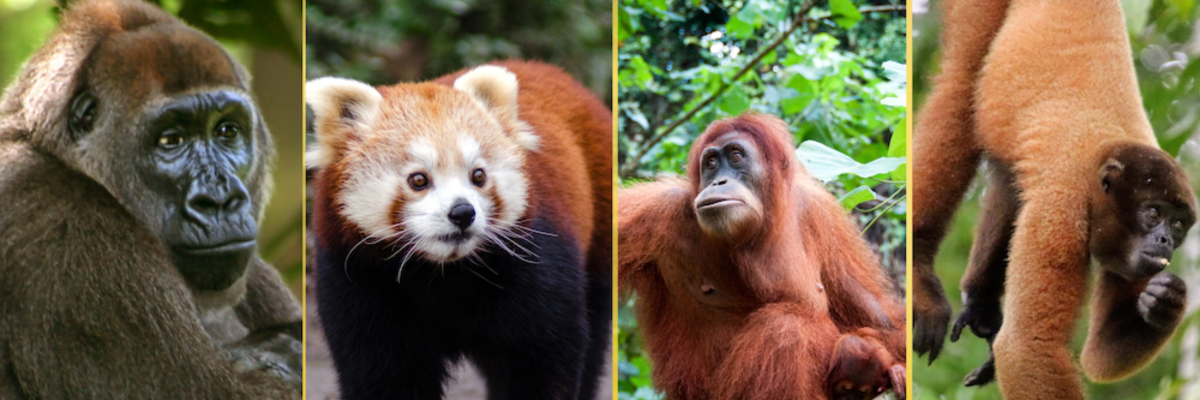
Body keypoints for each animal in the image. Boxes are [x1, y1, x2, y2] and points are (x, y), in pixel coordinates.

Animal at [912, 0, 1197, 397]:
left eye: (1179, 224)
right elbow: (1027, 345)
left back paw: (981, 304)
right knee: (960, 83)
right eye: (1153, 213)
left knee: (1008, 175)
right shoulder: (1060, 210)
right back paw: (919, 269)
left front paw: (1167, 303)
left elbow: (1098, 359)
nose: (1166, 240)